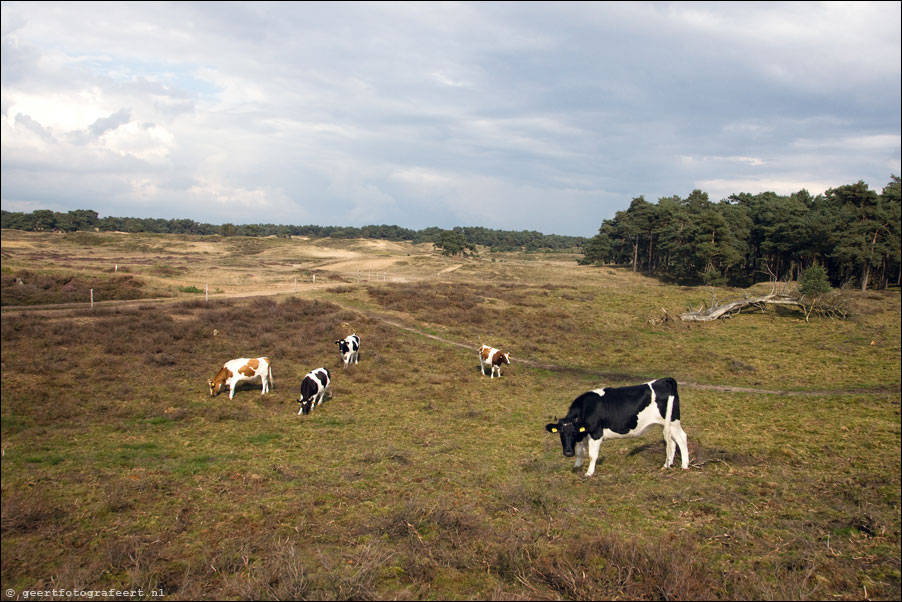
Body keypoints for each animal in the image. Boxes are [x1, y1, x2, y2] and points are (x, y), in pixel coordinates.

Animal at [548, 378, 688, 476]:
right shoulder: (583, 435)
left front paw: (589, 472)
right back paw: (667, 464)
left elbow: (592, 455)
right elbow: (580, 452)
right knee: (671, 441)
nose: (568, 452)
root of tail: (663, 380)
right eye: (561, 433)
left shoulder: (596, 433)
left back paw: (684, 466)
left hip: (673, 421)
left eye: (573, 432)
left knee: (681, 438)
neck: (587, 408)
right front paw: (577, 467)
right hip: (665, 424)